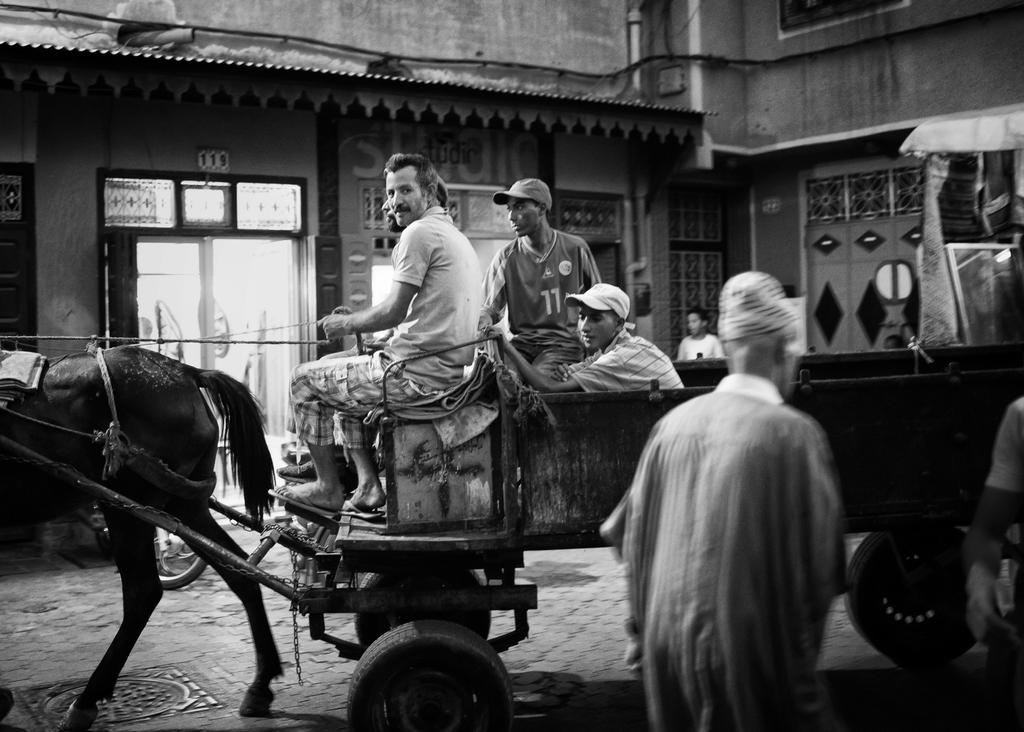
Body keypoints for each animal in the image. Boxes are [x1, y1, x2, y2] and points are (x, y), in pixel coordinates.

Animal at [0, 346, 280, 732]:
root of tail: (186, 371)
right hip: (184, 503)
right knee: (242, 574)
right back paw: (260, 685)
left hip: (127, 503)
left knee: (142, 592)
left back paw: (86, 702)